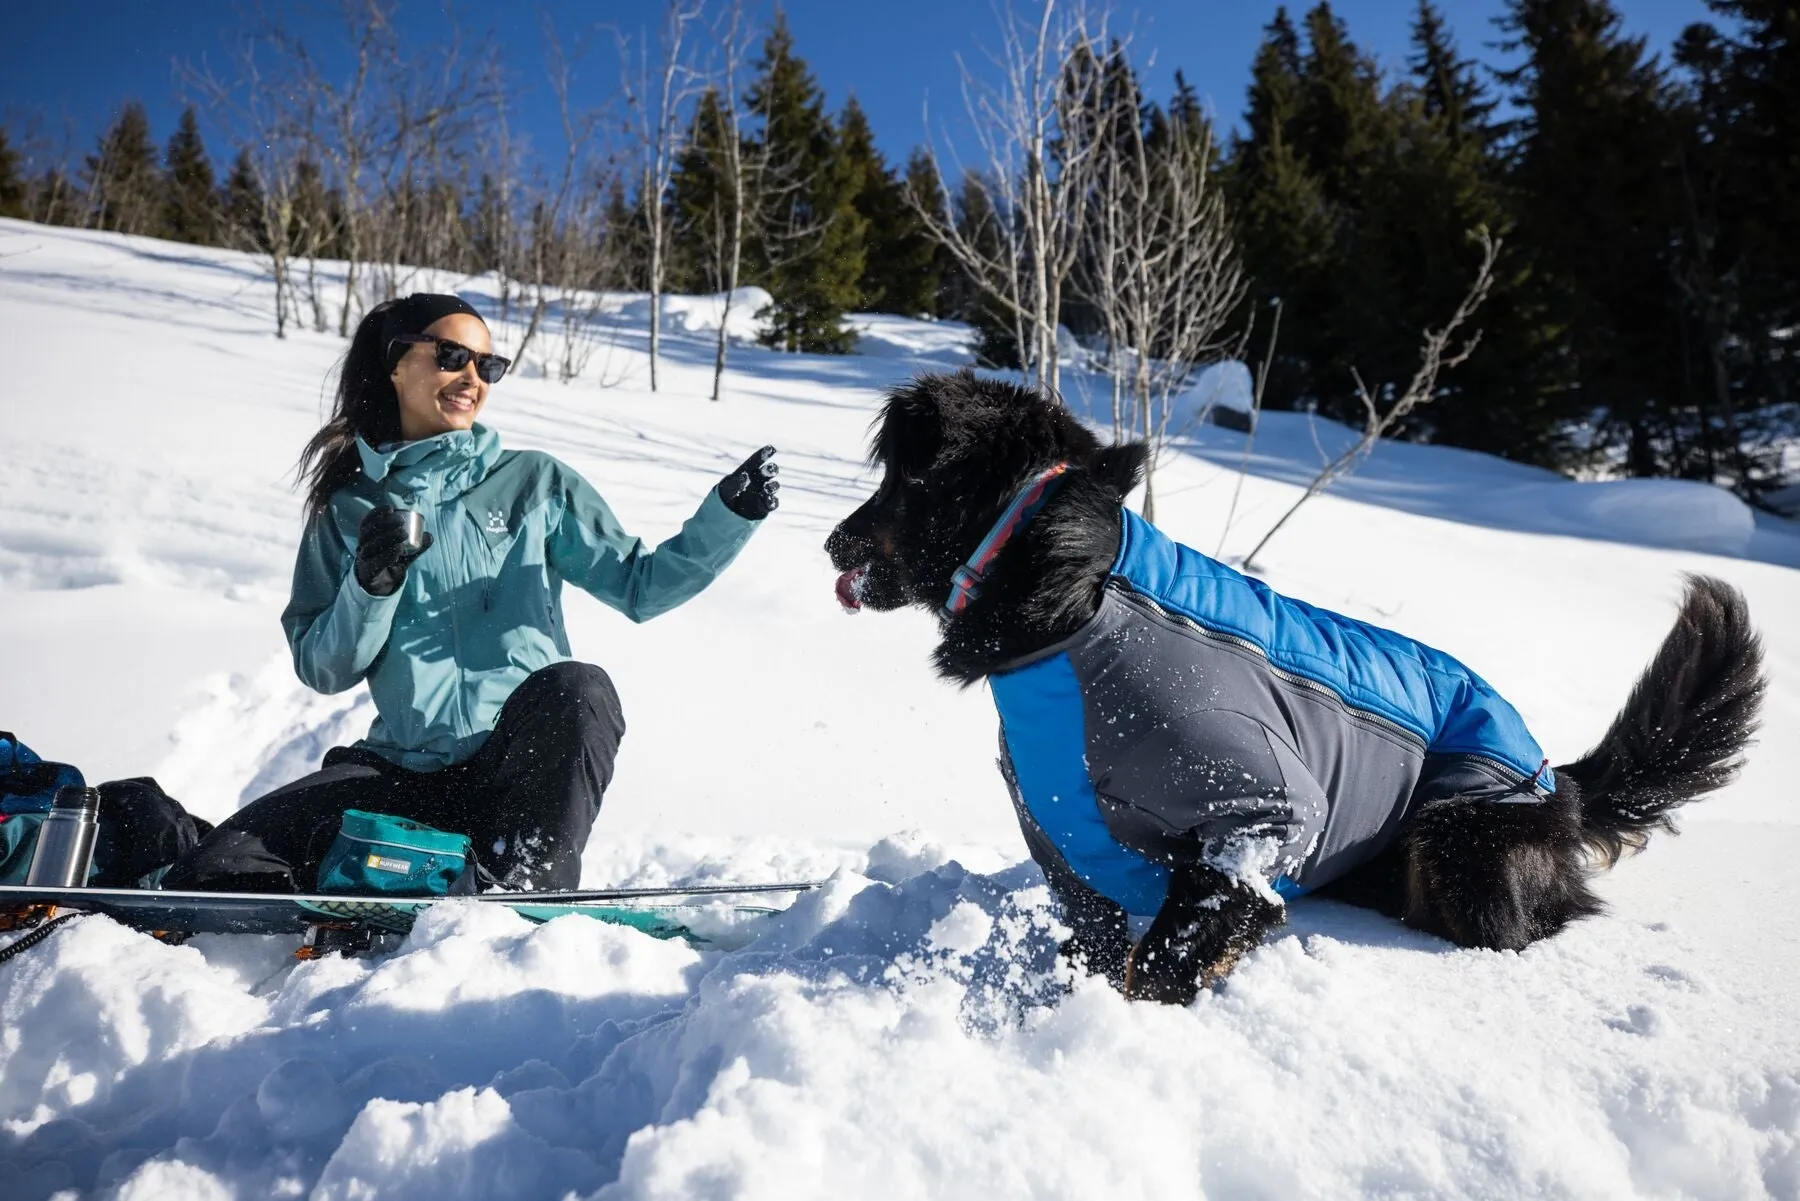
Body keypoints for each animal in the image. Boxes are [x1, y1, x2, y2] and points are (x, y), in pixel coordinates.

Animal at [828, 369, 1771, 1008]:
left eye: (901, 480)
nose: (834, 542)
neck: (1076, 601)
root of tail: (1560, 784)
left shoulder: (1254, 815)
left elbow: (1161, 959)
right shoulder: (1064, 837)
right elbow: (1096, 940)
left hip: (1458, 840)